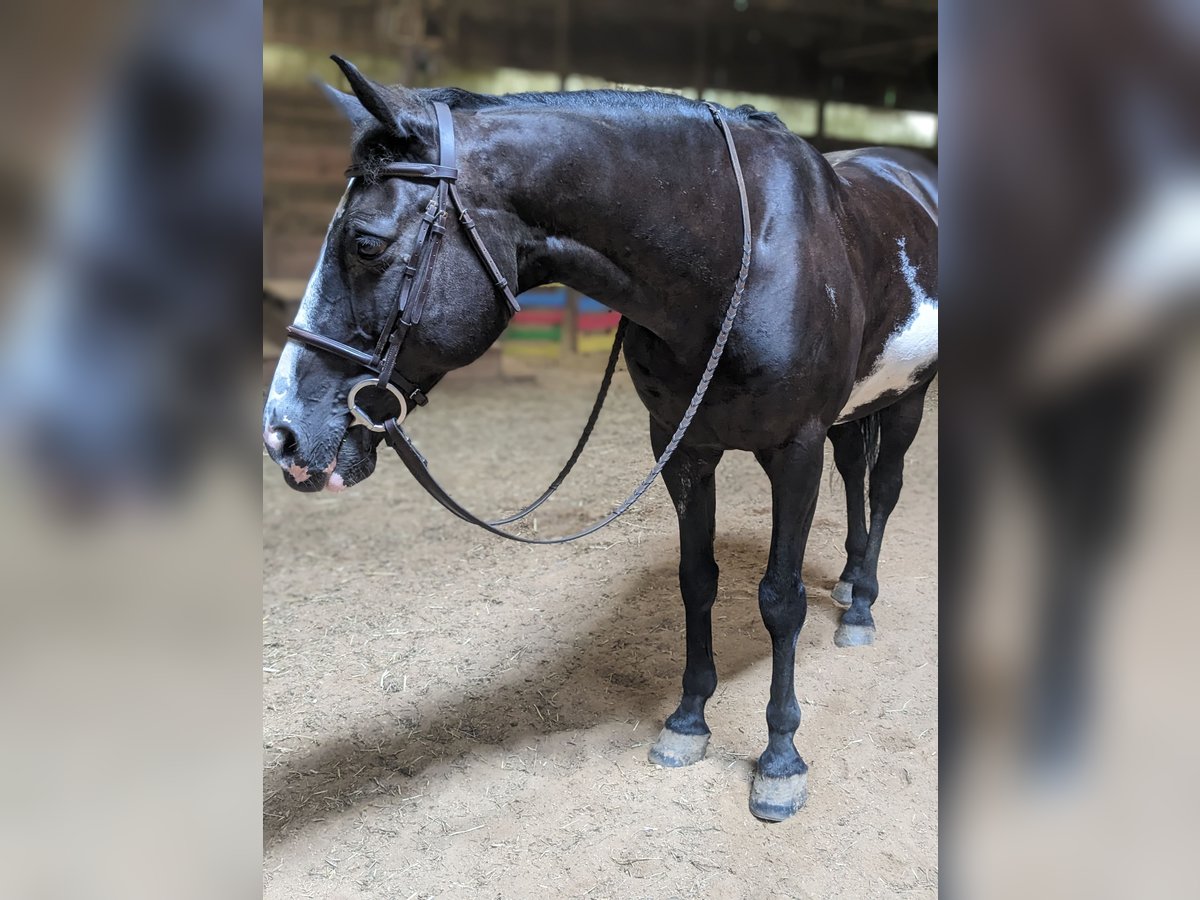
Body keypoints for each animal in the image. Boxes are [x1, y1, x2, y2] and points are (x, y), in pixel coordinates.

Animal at [263, 56, 937, 821]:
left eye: (365, 243)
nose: (283, 432)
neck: (738, 257)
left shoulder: (796, 449)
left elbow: (780, 599)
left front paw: (780, 760)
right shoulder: (681, 449)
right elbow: (697, 581)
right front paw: (687, 722)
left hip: (908, 400)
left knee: (883, 489)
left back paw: (862, 606)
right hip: (856, 409)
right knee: (857, 475)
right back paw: (850, 586)